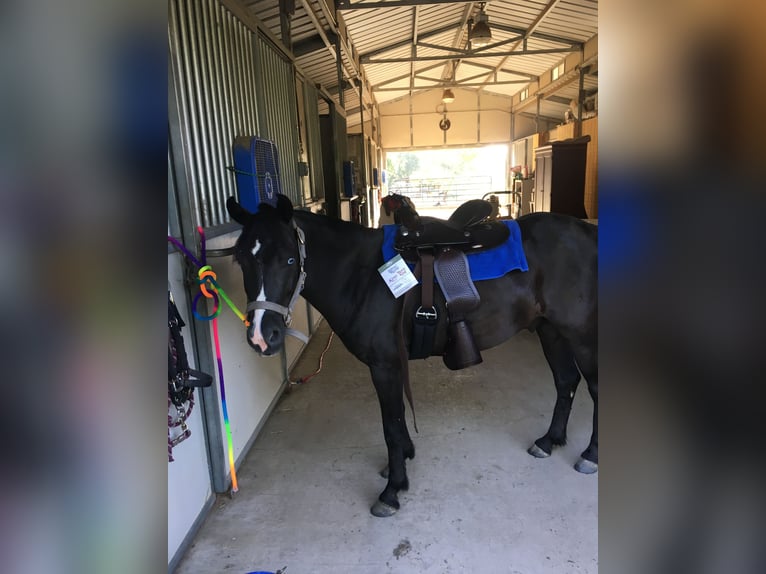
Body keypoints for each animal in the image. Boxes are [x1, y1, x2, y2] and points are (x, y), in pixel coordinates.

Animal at [226, 194, 597, 517]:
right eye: (241, 260)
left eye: (289, 259)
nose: (261, 336)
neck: (362, 275)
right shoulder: (392, 365)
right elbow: (398, 418)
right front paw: (404, 458)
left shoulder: (384, 365)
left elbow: (390, 425)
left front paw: (392, 490)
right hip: (550, 331)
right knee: (566, 382)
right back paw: (548, 441)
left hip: (581, 337)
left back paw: (590, 455)